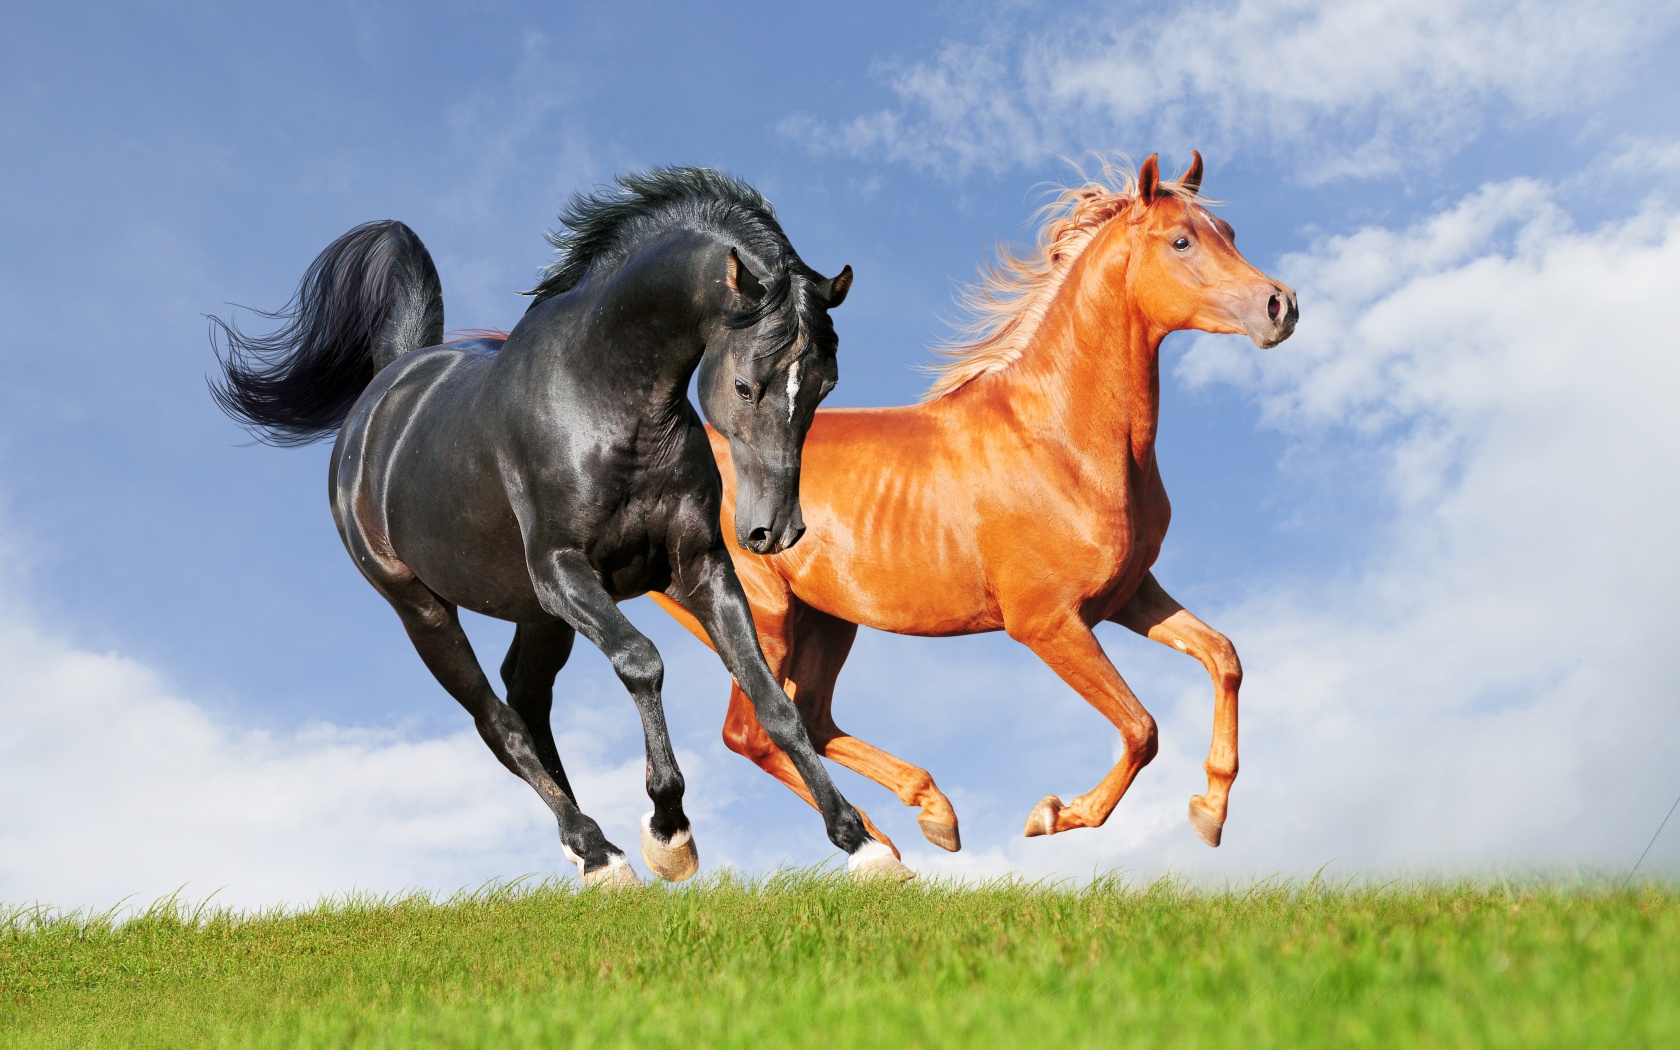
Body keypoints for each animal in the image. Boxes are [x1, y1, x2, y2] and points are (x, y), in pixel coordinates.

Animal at [216, 168, 913, 880]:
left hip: (536, 613)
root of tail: (387, 389)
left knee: (525, 698)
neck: (606, 404)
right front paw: (668, 833)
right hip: (424, 609)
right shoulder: (563, 571)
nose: (774, 531)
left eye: (826, 384)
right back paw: (598, 851)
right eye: (747, 385)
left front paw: (861, 843)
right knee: (498, 722)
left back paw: (591, 851)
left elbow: (774, 700)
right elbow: (642, 661)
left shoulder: (700, 568)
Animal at [648, 155, 1290, 860]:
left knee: (811, 719)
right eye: (1181, 241)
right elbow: (1141, 727)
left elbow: (1223, 656)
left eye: (1228, 231)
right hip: (762, 617)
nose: (1280, 306)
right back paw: (880, 846)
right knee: (757, 731)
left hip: (826, 620)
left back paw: (927, 815)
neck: (1061, 440)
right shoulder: (1047, 624)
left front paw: (1210, 810)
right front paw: (1055, 814)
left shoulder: (1127, 595)